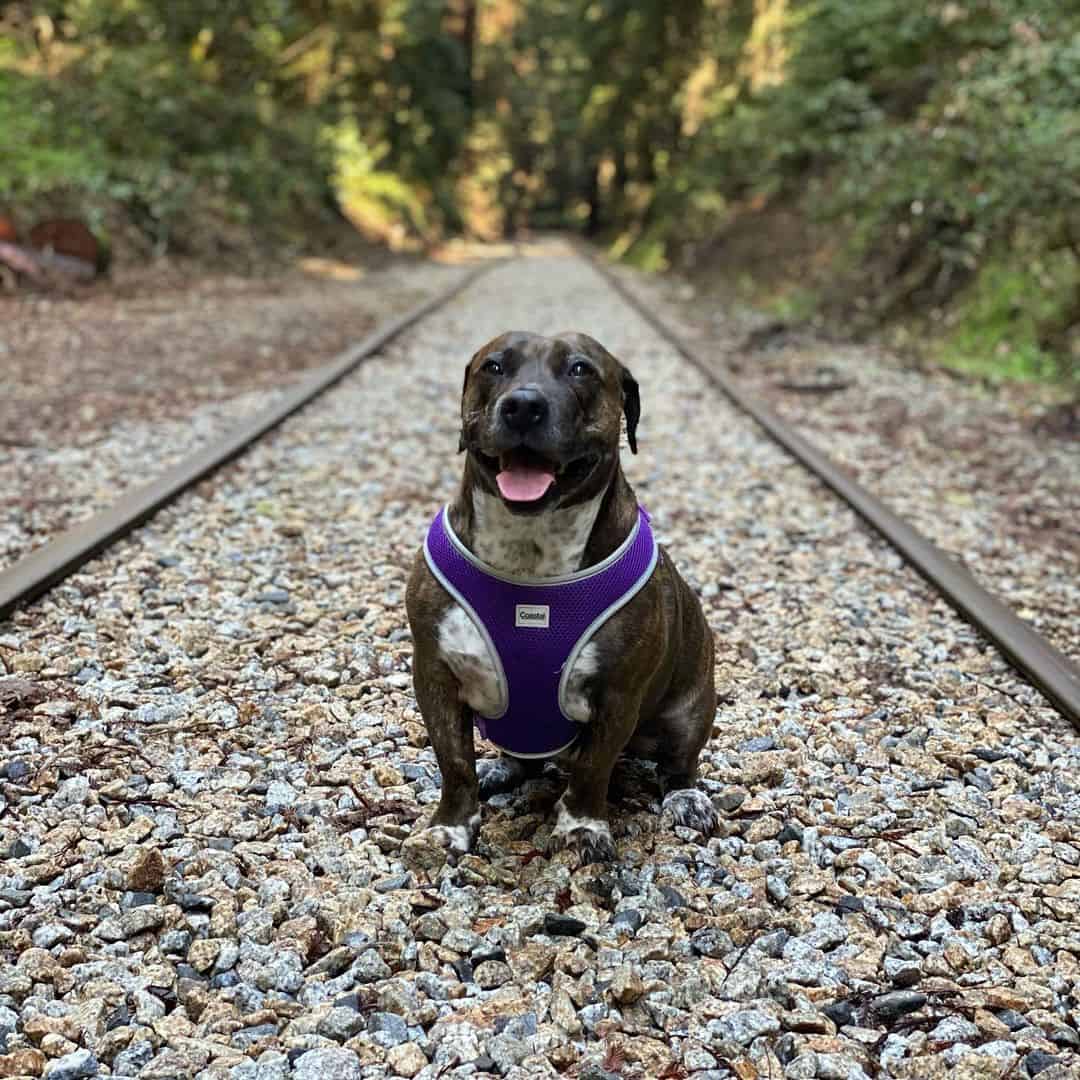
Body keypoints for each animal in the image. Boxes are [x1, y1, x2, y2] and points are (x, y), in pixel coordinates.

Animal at [406, 328, 717, 859]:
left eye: (580, 369)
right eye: (493, 366)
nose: (523, 406)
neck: (530, 552)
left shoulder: (618, 695)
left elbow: (593, 769)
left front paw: (581, 827)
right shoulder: (435, 675)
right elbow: (454, 762)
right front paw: (452, 825)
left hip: (691, 706)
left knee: (677, 764)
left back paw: (686, 798)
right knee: (521, 760)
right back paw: (501, 771)